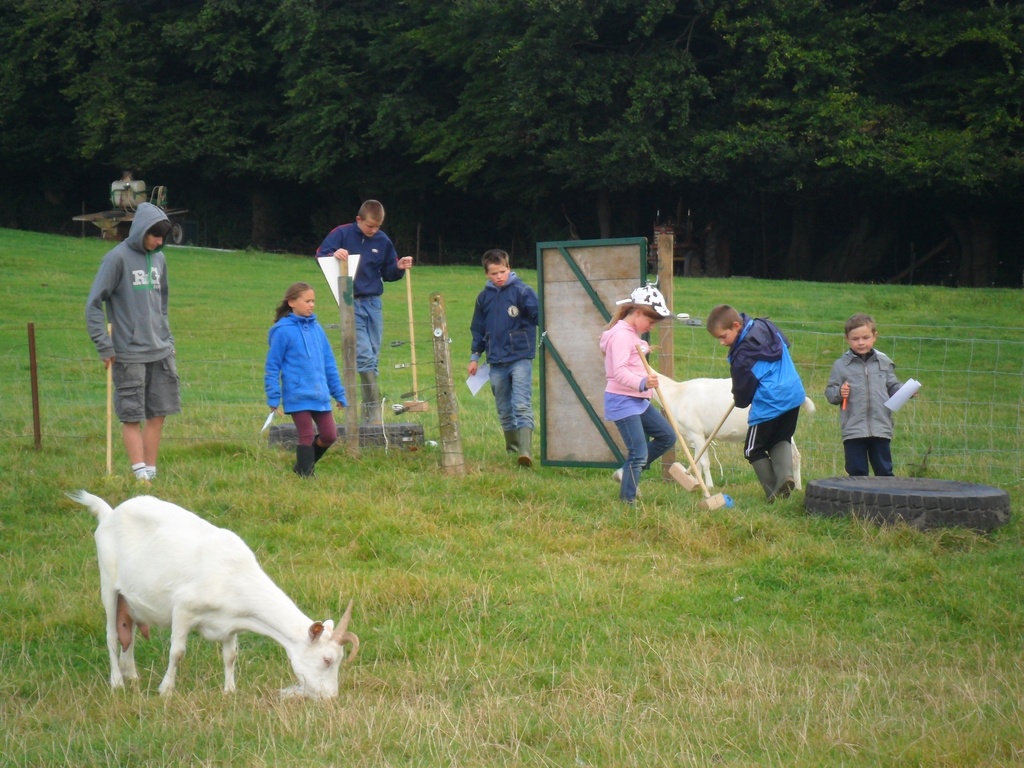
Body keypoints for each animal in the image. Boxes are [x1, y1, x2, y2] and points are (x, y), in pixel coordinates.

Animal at [69, 489, 360, 700]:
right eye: (327, 660)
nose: (331, 697)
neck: (234, 576)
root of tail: (109, 513)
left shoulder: (231, 625)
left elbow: (230, 656)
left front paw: (229, 691)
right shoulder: (183, 608)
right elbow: (177, 652)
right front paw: (165, 690)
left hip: (130, 600)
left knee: (127, 630)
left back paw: (132, 675)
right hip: (108, 582)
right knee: (111, 634)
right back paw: (117, 681)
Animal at [655, 376, 815, 489]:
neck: (677, 394)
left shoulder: (697, 432)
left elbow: (704, 462)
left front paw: (709, 486)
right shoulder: (698, 436)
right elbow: (697, 462)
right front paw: (694, 483)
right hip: (786, 430)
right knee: (794, 455)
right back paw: (797, 487)